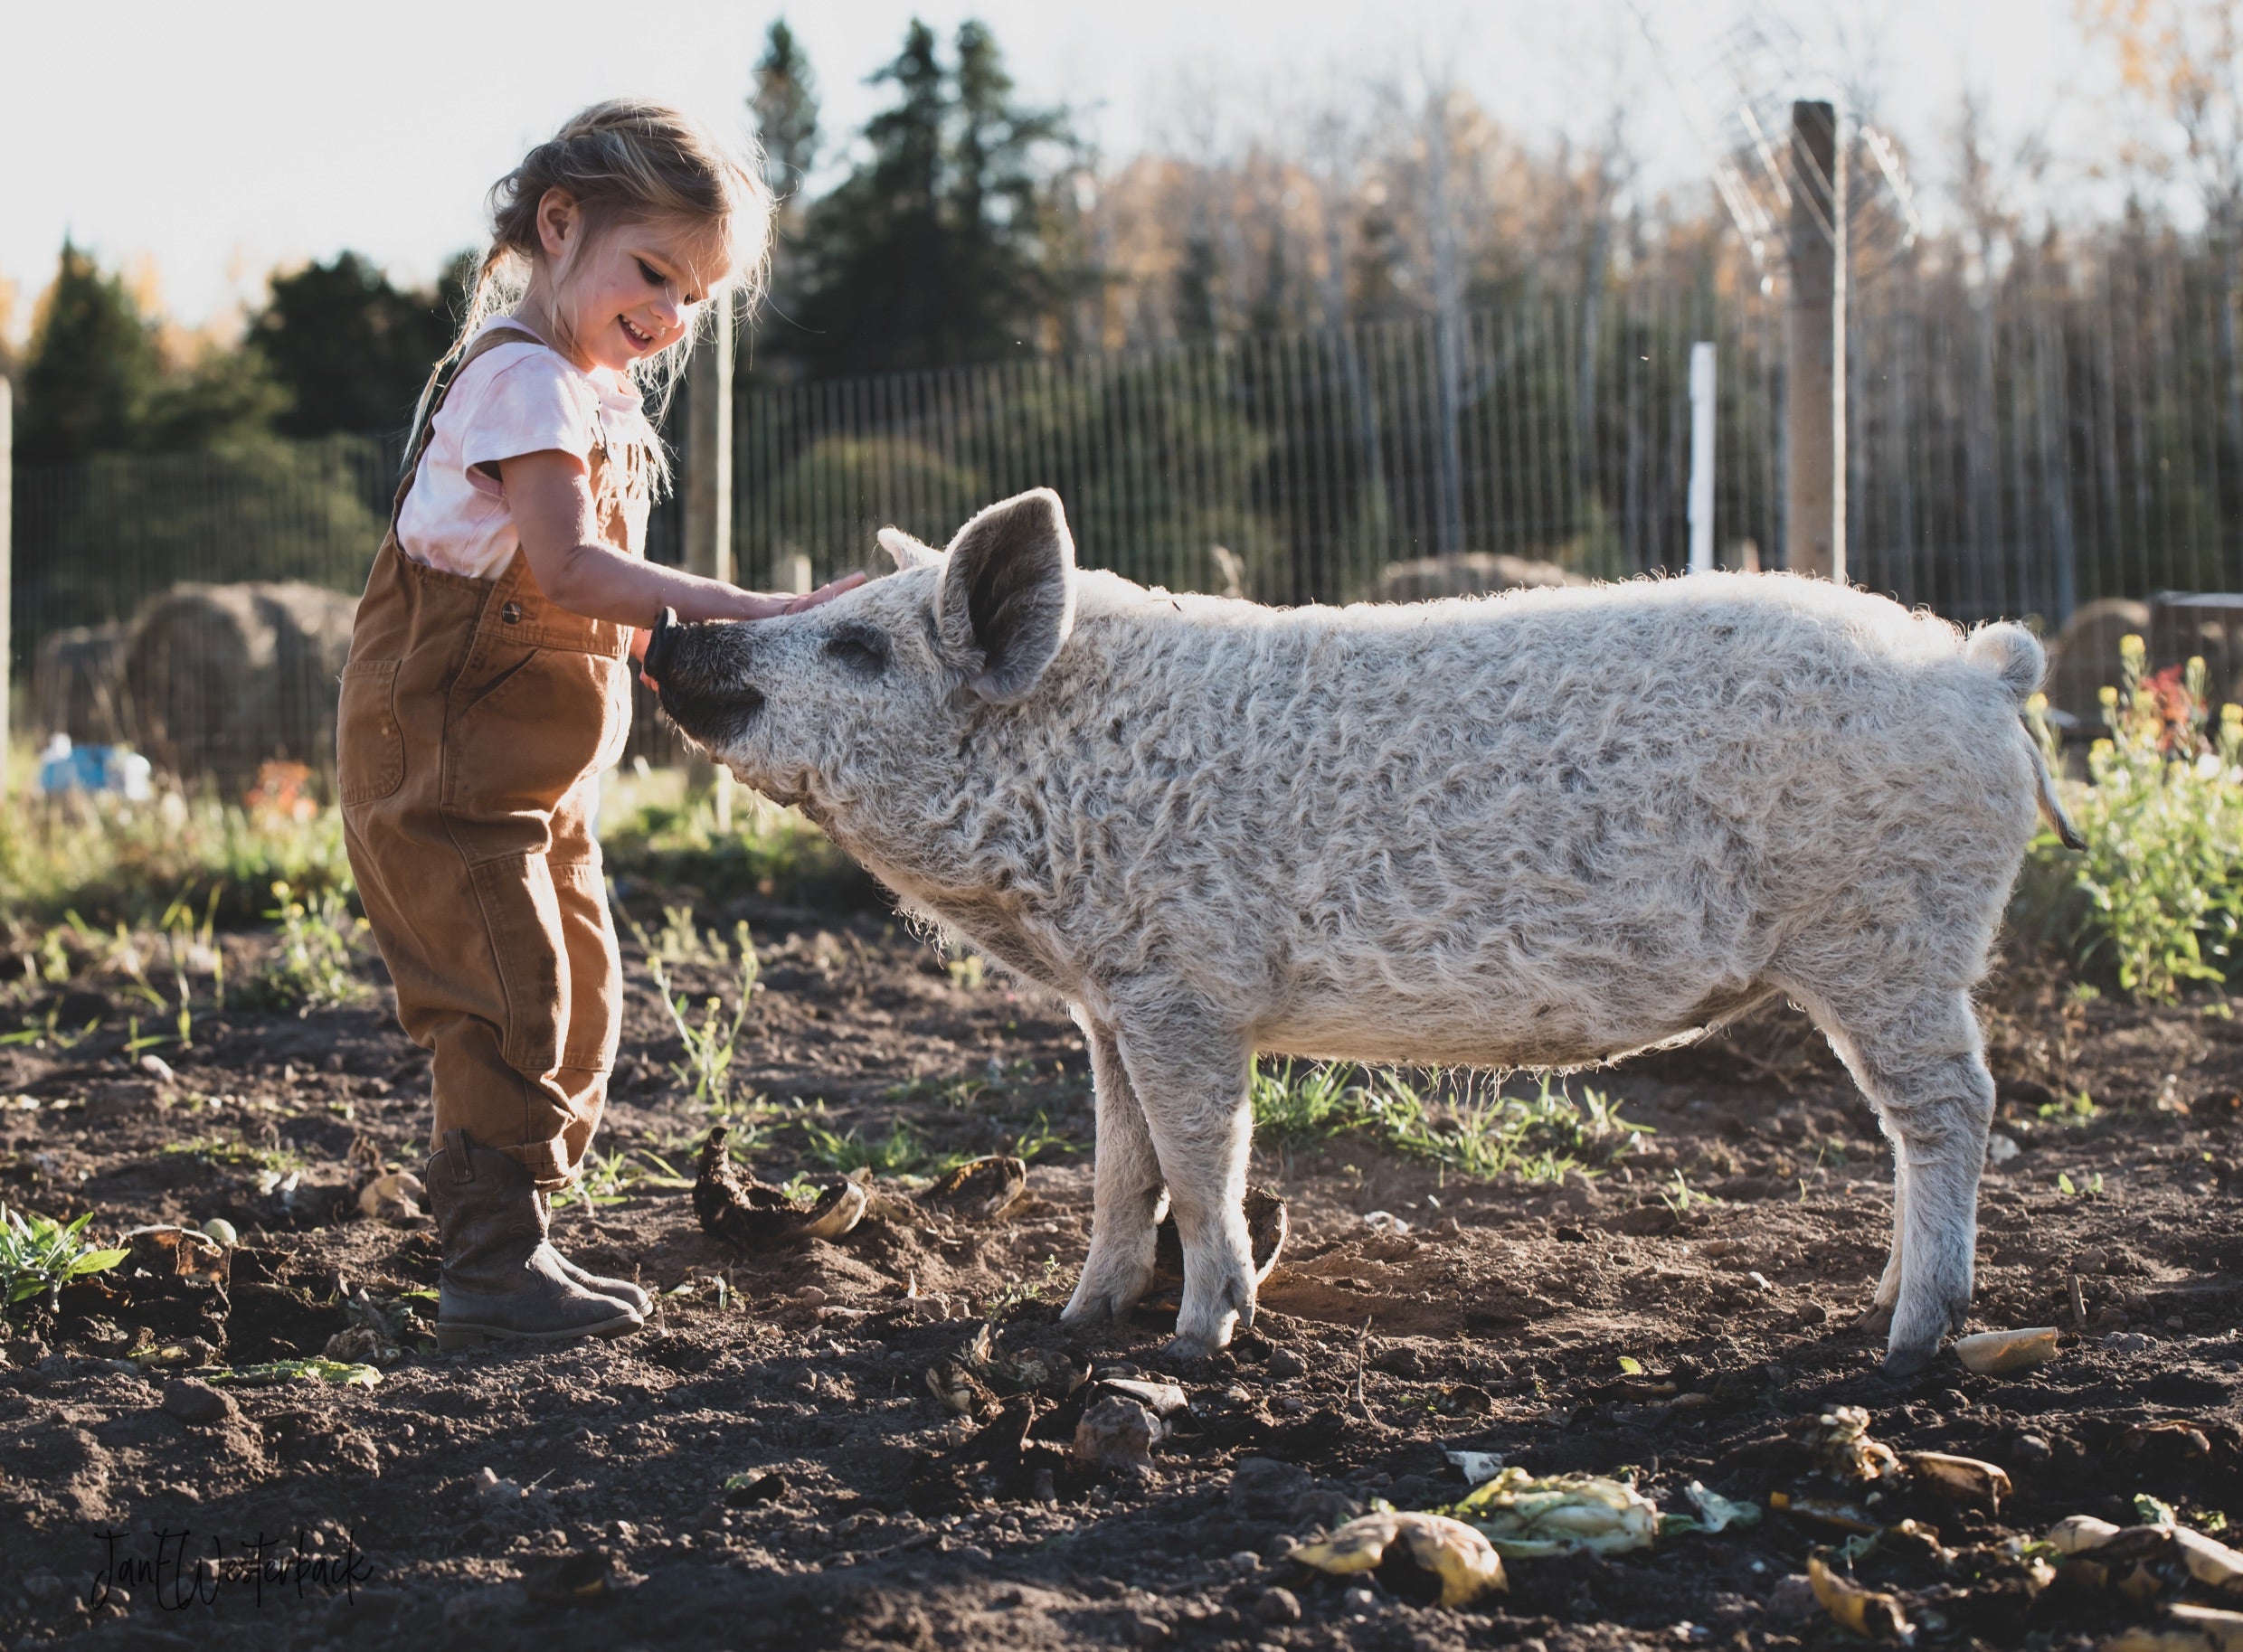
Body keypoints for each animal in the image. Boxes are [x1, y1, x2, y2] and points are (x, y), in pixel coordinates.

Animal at [650, 493, 2081, 1381]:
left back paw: (1907, 1342)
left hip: (1890, 940)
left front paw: (1195, 1344)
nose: (674, 626)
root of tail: (1982, 668)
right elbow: (1117, 1167)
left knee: (1952, 1109)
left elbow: (1200, 1161)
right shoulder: (1106, 1003)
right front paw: (1069, 1321)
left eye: (859, 644)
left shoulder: (1185, 986)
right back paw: (1879, 1308)